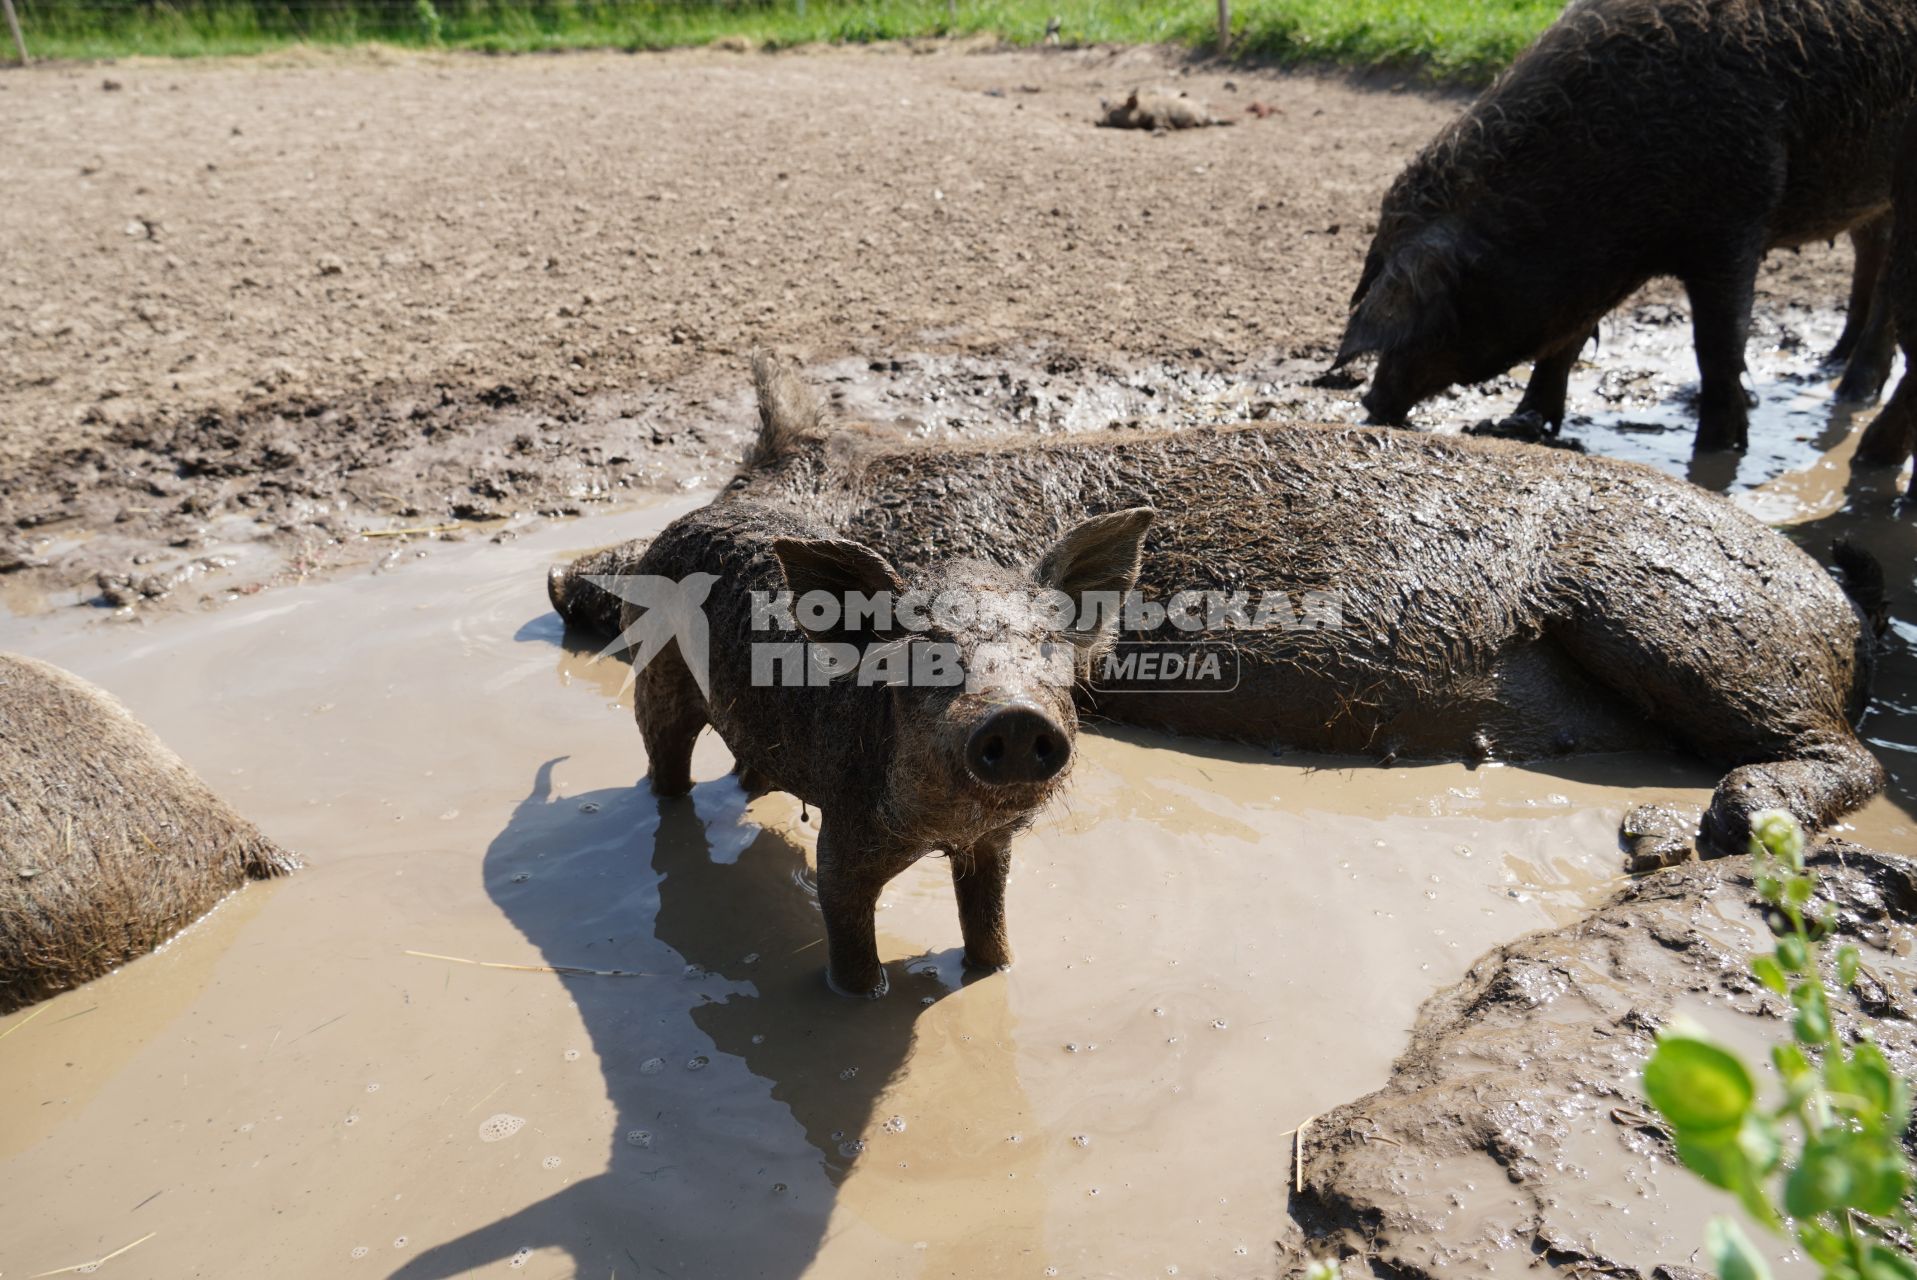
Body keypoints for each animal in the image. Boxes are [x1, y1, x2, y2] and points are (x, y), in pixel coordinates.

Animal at [552, 484, 1150, 996]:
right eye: (927, 651)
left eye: (1047, 644)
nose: (1017, 716)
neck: (944, 827)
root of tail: (685, 519)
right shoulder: (843, 836)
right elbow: (848, 935)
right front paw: (859, 1001)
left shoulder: (991, 843)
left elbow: (989, 925)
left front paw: (996, 972)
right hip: (655, 681)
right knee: (665, 763)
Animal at [697, 354, 1878, 866]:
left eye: (772, 502)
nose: (689, 543)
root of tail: (1839, 606)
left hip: (1671, 613)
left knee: (1847, 755)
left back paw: (1695, 828)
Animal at [1334, 0, 1917, 450]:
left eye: (1438, 303)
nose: (1373, 401)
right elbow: (1563, 343)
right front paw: (1523, 423)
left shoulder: (1737, 218)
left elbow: (1717, 346)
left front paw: (1717, 450)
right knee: (1872, 252)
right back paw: (1831, 362)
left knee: (1887, 289)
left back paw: (1850, 390)